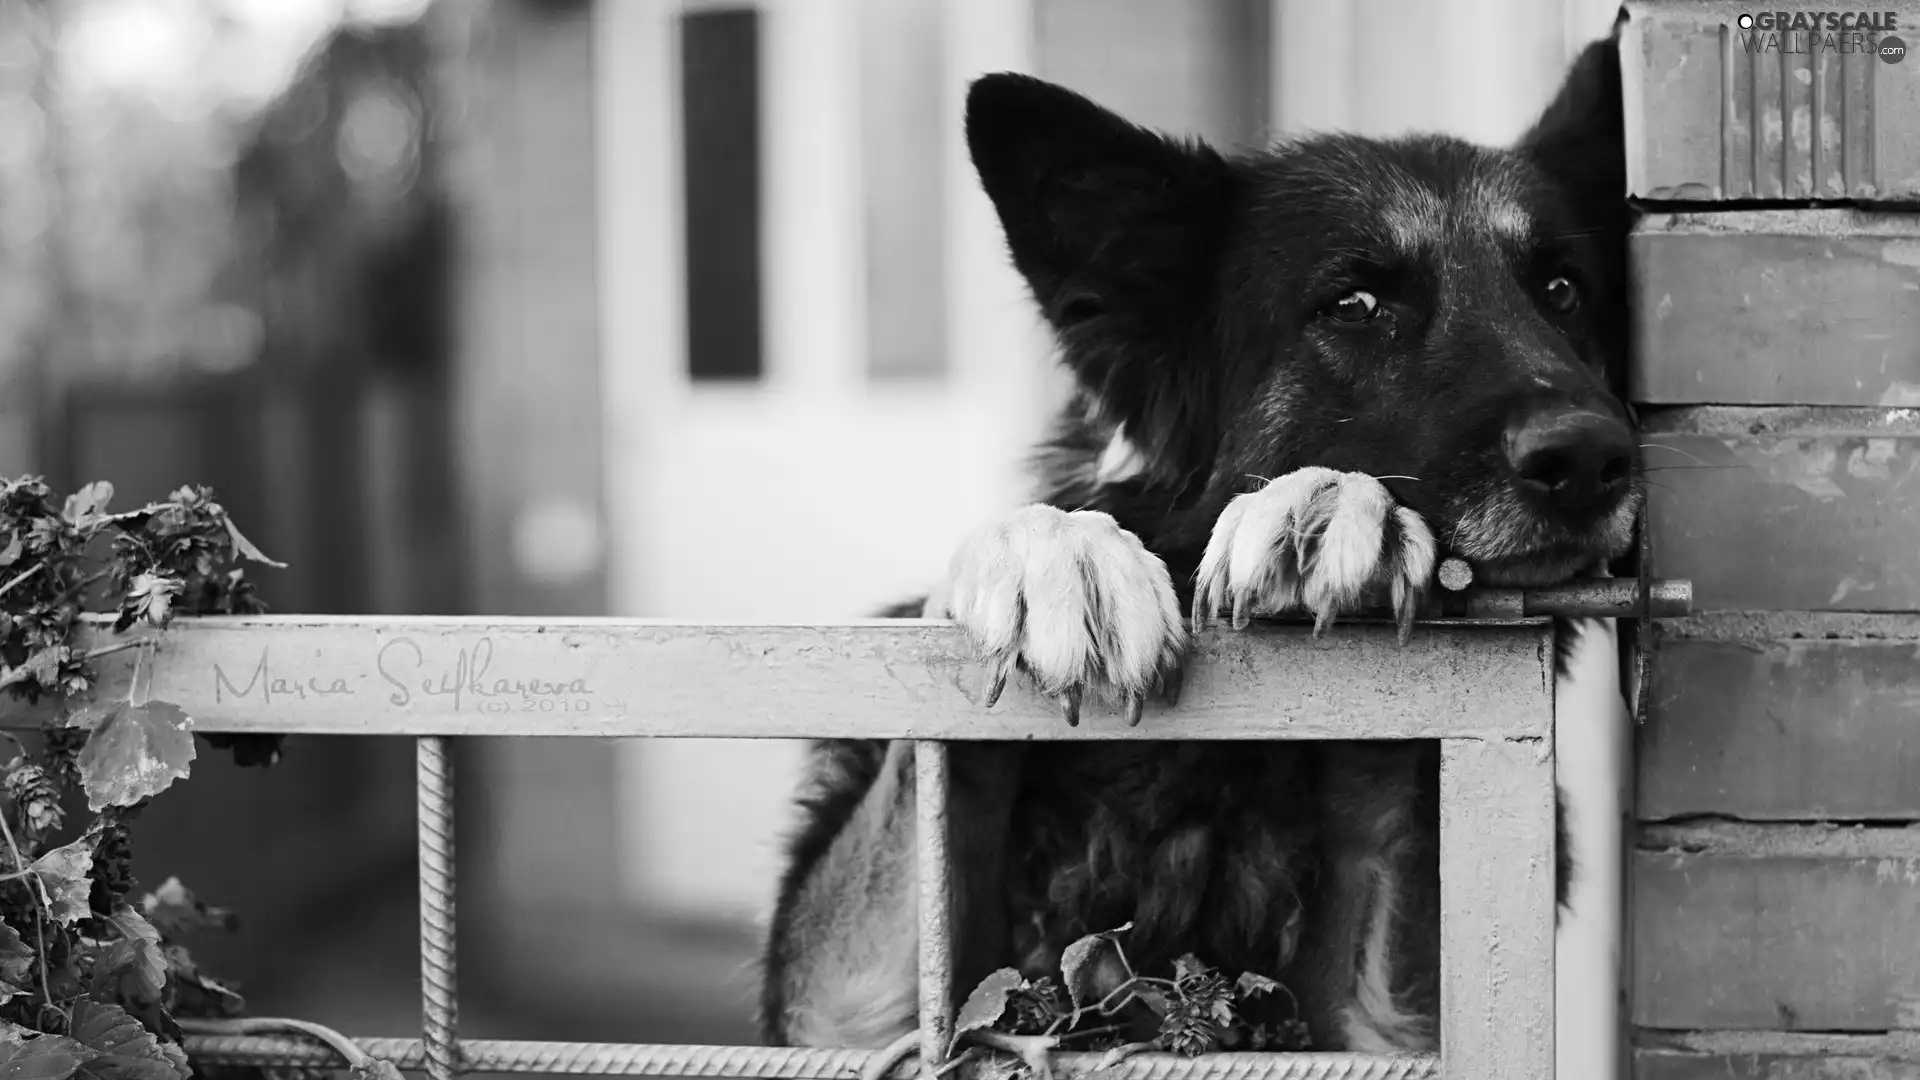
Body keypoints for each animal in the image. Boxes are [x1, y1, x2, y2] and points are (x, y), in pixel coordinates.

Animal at [756, 23, 1643, 1053]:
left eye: (1562, 289)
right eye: (1355, 305)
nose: (1590, 457)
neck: (1213, 774)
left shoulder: (1395, 1019)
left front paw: (1336, 510)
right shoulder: (854, 1012)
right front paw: (1056, 556)